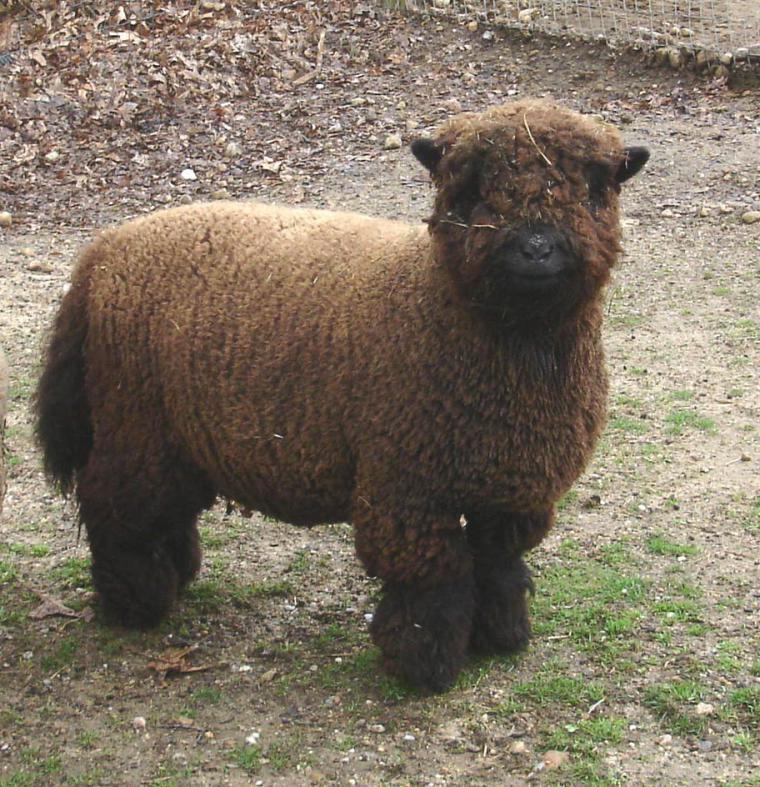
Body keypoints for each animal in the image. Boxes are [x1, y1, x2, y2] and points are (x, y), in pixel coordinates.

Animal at [35, 100, 649, 692]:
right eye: (470, 191)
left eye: (596, 189)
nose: (535, 250)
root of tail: (101, 256)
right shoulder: (405, 487)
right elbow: (434, 580)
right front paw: (425, 669)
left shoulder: (511, 488)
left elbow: (498, 565)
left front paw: (502, 638)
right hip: (132, 420)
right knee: (114, 507)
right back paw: (135, 604)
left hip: (174, 432)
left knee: (162, 508)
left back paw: (175, 574)